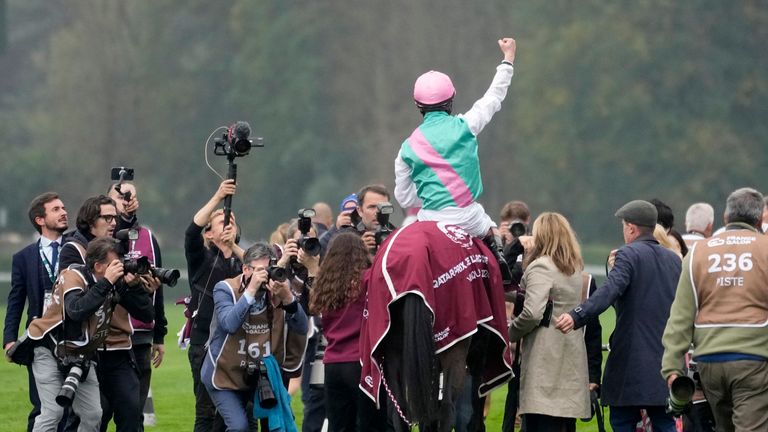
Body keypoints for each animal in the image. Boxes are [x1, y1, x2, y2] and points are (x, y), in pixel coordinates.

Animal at [358, 223, 512, 432]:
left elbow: (429, 414)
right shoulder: (478, 354)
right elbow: (474, 401)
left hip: (394, 352)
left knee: (401, 411)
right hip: (455, 351)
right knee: (447, 409)